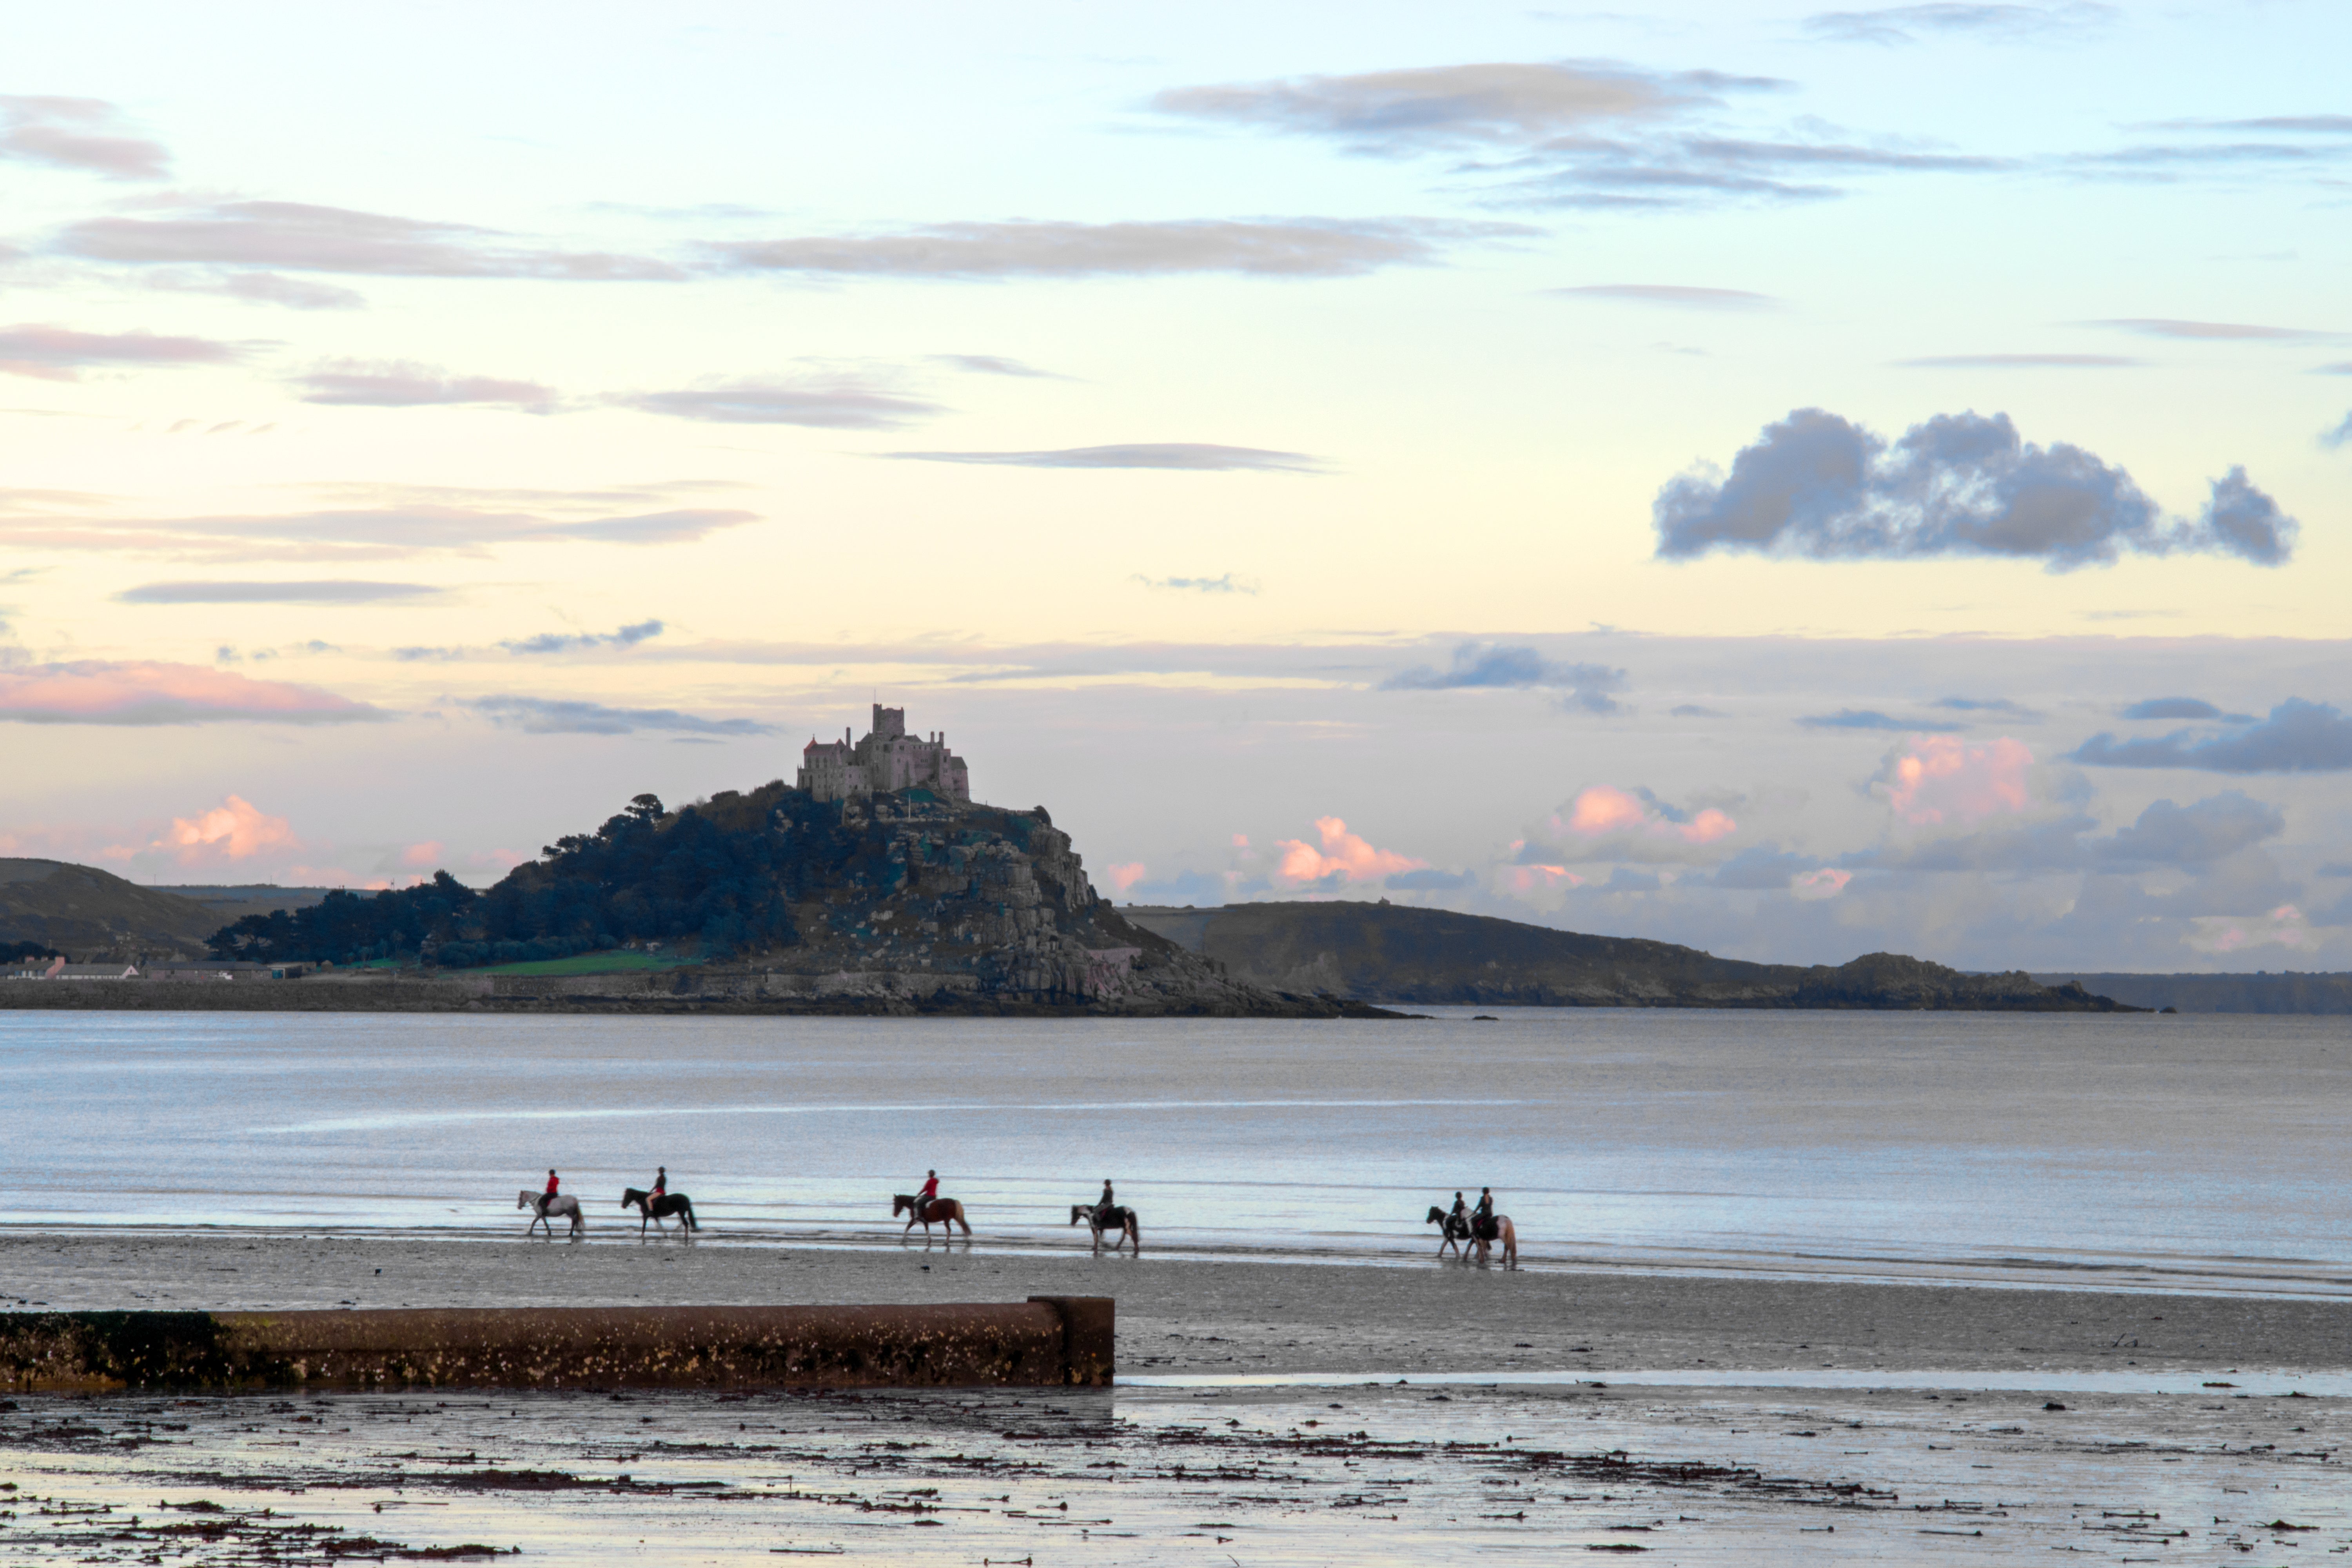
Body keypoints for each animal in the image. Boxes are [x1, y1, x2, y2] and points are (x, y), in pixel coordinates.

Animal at [517, 1189, 581, 1241]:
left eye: (520, 1198)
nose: (519, 1207)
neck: (536, 1201)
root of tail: (574, 1199)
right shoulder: (540, 1215)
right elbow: (537, 1223)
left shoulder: (540, 1215)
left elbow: (541, 1223)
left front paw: (530, 1232)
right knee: (575, 1221)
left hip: (570, 1213)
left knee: (574, 1221)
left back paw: (571, 1233)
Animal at [621, 1189, 691, 1241]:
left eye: (627, 1196)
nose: (623, 1206)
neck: (644, 1200)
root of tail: (686, 1198)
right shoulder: (655, 1216)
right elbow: (660, 1225)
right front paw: (665, 1235)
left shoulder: (645, 1216)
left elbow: (644, 1226)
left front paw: (642, 1236)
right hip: (681, 1213)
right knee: (683, 1223)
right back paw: (674, 1233)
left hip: (681, 1213)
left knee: (685, 1223)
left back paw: (685, 1236)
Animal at [898, 1194, 974, 1241]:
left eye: (896, 1203)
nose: (896, 1215)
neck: (913, 1204)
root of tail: (953, 1201)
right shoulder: (923, 1221)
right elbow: (926, 1229)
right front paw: (929, 1240)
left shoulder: (915, 1219)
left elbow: (908, 1227)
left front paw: (903, 1239)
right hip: (955, 1217)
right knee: (963, 1226)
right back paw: (966, 1239)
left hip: (947, 1219)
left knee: (951, 1229)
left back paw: (947, 1242)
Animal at [1073, 1213, 1143, 1260]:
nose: (1073, 1223)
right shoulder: (1100, 1229)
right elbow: (1098, 1237)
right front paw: (1098, 1247)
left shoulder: (1097, 1228)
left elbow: (1097, 1237)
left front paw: (1100, 1246)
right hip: (1126, 1228)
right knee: (1126, 1237)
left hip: (1126, 1227)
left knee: (1132, 1236)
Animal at [1411, 1213, 1468, 1260]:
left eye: (1430, 1213)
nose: (1427, 1221)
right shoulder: (1448, 1237)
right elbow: (1443, 1246)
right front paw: (1438, 1256)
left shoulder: (1449, 1237)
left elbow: (1452, 1246)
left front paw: (1458, 1256)